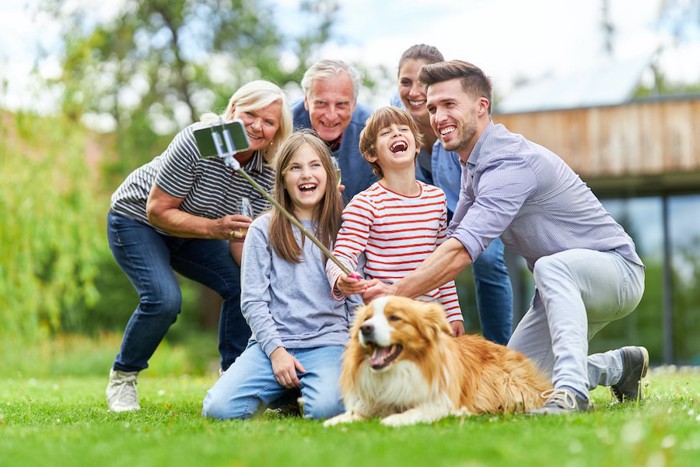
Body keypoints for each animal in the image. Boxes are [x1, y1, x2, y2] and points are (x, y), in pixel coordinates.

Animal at [326, 298, 552, 426]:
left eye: (394, 318)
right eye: (367, 318)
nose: (365, 328)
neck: (398, 371)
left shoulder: (442, 403)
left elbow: (415, 412)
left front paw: (393, 419)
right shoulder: (370, 403)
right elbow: (345, 417)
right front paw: (334, 422)